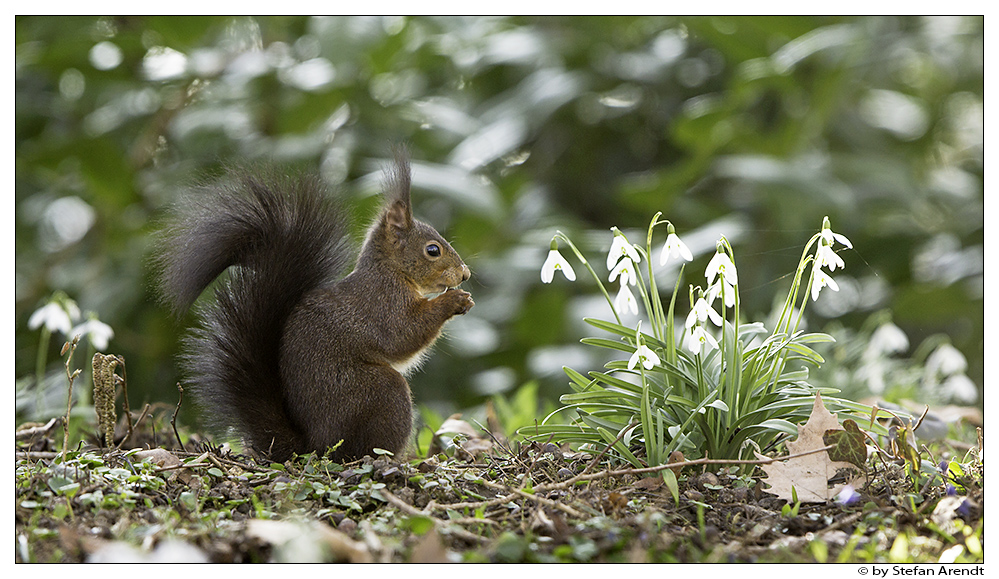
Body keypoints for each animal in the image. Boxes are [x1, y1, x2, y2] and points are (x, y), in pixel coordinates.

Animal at [157, 153, 476, 462]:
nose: (465, 274)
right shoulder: (382, 303)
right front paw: (454, 301)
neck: (390, 271)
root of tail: (312, 445)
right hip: (383, 393)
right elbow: (403, 334)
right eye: (432, 250)